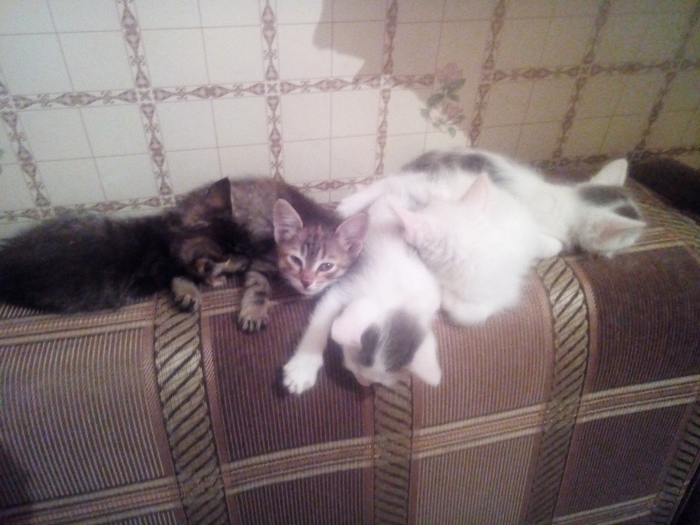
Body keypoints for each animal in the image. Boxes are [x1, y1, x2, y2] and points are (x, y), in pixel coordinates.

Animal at [0, 179, 253, 314]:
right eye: (236, 256)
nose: (250, 261)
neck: (166, 237)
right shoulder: (151, 275)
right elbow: (181, 275)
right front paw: (197, 288)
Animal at [339, 148, 646, 257]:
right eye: (629, 238)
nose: (634, 244)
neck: (564, 202)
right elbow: (552, 245)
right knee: (390, 183)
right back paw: (349, 205)